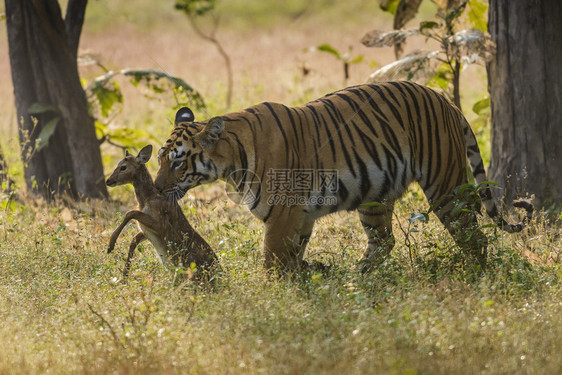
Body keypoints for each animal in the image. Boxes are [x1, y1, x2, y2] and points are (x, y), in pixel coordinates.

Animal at [105, 145, 219, 280]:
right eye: (118, 164)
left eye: (123, 167)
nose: (108, 181)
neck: (146, 200)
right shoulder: (146, 230)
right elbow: (134, 239)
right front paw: (125, 274)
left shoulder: (161, 223)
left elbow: (131, 212)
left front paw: (110, 245)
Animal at [153, 81, 528, 274]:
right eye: (158, 159)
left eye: (178, 162)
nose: (156, 188)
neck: (231, 161)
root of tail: (446, 100)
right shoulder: (299, 217)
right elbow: (293, 258)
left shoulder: (283, 215)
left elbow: (273, 262)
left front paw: (273, 302)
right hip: (375, 194)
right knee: (384, 241)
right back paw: (357, 280)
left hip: (445, 186)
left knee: (474, 237)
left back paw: (478, 277)